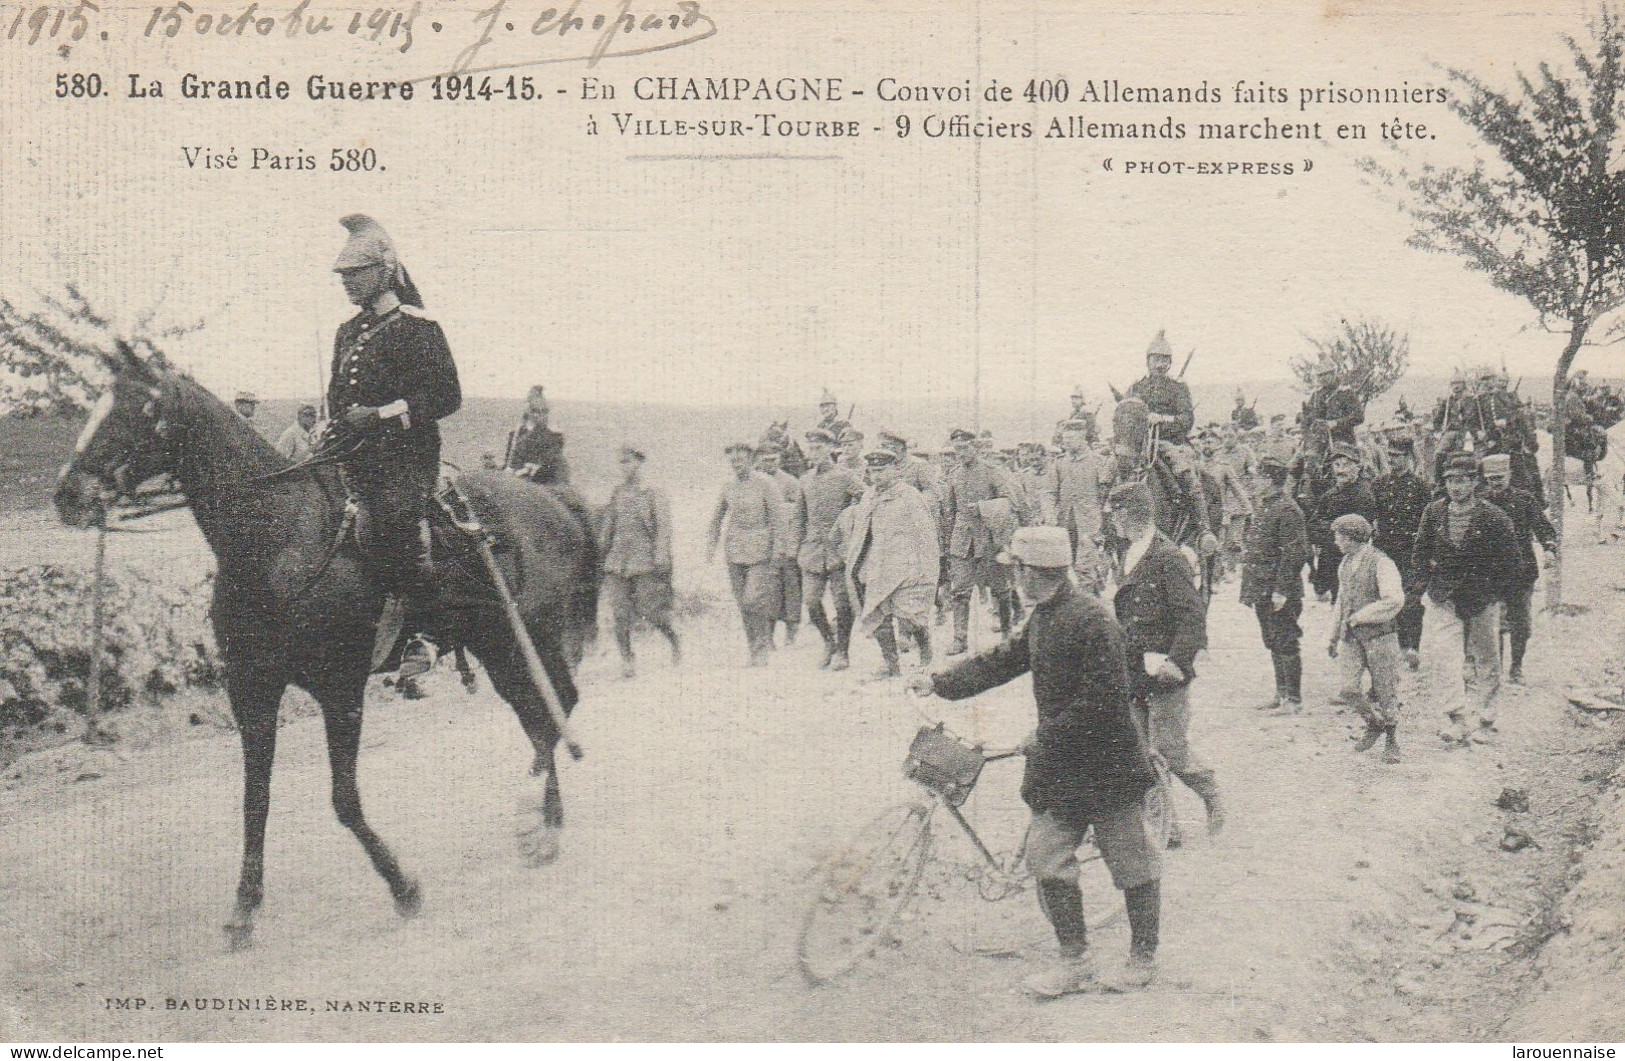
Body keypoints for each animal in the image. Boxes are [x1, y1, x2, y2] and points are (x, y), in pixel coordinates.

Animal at [57, 346, 607, 942]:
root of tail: (556, 501)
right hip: (497, 647)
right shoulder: (252, 690)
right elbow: (256, 799)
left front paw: (403, 887)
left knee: (555, 709)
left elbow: (343, 799)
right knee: (539, 715)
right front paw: (244, 907)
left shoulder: (340, 689)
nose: (68, 494)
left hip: (529, 635)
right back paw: (546, 820)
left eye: (142, 407)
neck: (277, 539)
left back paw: (538, 820)